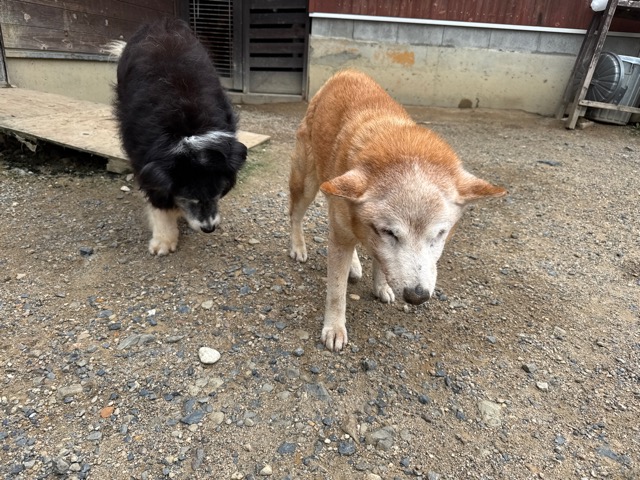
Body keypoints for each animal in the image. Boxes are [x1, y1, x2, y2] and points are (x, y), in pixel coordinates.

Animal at [107, 18, 247, 255]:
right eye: (188, 197)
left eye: (218, 193)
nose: (209, 228)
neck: (187, 131)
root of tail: (160, 24)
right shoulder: (143, 156)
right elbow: (158, 198)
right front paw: (164, 240)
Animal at [289, 70, 507, 351]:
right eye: (390, 232)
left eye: (440, 234)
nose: (417, 296)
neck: (398, 145)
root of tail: (347, 72)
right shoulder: (350, 232)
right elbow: (336, 292)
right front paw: (334, 328)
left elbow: (379, 259)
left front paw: (380, 284)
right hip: (307, 183)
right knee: (295, 215)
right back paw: (298, 247)